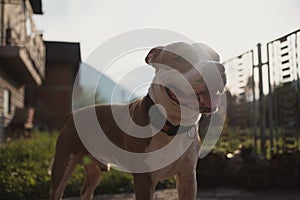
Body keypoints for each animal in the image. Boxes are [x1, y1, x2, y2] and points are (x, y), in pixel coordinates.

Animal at [50, 41, 226, 199]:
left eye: (216, 57)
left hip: (94, 169)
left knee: (86, 191)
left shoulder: (188, 178)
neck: (172, 124)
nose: (219, 67)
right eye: (182, 56)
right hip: (63, 163)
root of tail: (71, 115)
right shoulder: (144, 180)